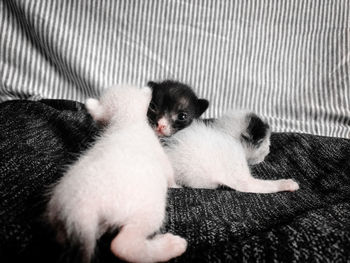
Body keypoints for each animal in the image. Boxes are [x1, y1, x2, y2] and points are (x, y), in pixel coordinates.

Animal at [48, 85, 189, 262]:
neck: (127, 121)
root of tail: (83, 208)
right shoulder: (163, 160)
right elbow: (170, 177)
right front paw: (177, 186)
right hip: (147, 210)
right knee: (123, 245)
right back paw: (171, 246)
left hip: (61, 222)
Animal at [163, 111, 298, 194]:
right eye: (264, 143)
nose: (269, 150)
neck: (226, 134)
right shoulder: (239, 173)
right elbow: (262, 185)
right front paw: (287, 184)